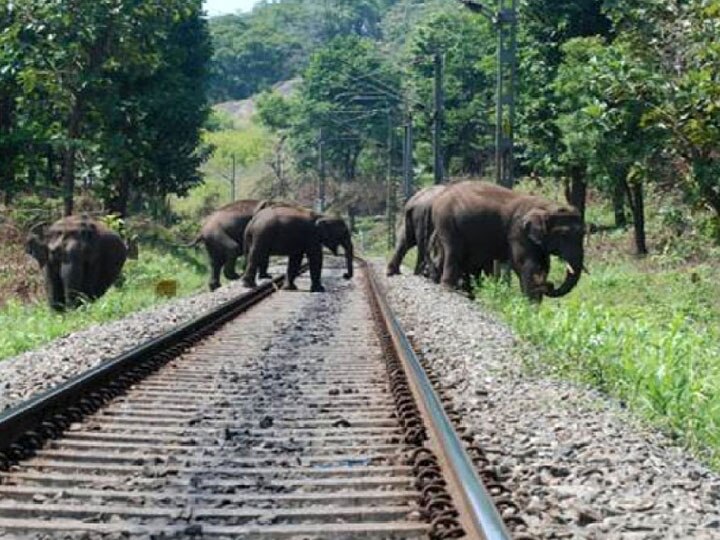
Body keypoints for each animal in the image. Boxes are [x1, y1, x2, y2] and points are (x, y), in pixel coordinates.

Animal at [430, 180, 584, 300]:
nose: (550, 285)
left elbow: (544, 265)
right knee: (453, 251)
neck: (547, 206)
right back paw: (449, 288)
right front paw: (530, 306)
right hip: (447, 221)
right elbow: (527, 264)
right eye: (563, 234)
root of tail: (440, 196)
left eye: (583, 233)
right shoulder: (518, 232)